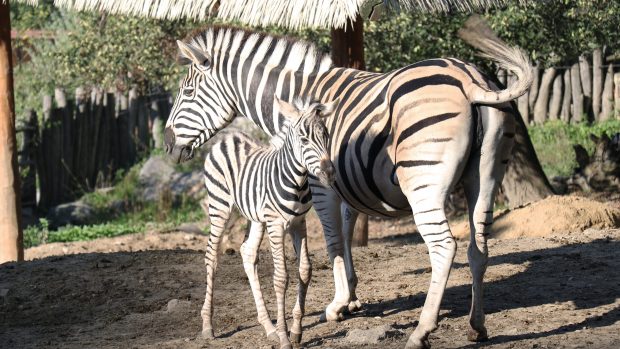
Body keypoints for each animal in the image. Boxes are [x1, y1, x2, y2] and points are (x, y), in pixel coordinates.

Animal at [201, 96, 336, 348]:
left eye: (326, 136)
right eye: (304, 139)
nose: (329, 174)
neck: (297, 181)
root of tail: (229, 136)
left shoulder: (298, 223)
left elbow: (305, 270)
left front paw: (296, 330)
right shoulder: (276, 225)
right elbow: (281, 277)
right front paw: (284, 337)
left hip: (254, 217)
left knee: (247, 252)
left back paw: (268, 327)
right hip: (219, 206)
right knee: (211, 257)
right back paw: (207, 326)